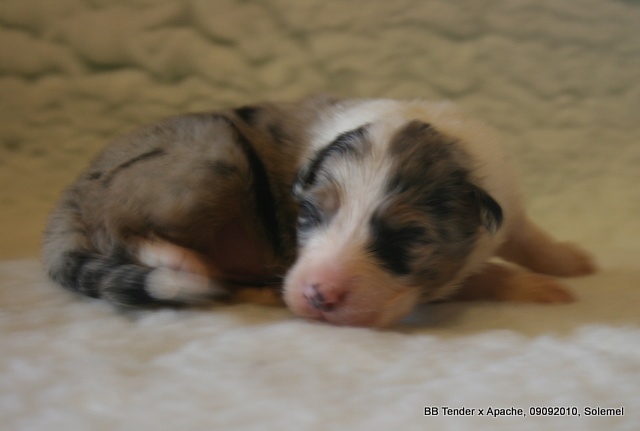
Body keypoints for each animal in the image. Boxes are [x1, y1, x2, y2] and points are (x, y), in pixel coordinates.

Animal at [42, 96, 596, 327]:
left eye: (406, 238)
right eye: (308, 213)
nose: (315, 296)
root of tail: (72, 193)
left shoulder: (505, 196)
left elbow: (528, 234)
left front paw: (569, 261)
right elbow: (482, 274)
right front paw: (538, 287)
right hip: (210, 158)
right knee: (116, 228)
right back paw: (185, 263)